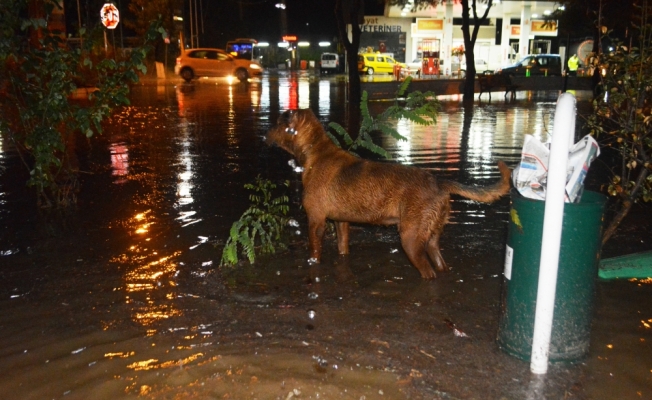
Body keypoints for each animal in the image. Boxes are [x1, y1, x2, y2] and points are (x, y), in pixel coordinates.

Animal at [264, 108, 510, 280]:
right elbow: (343, 247)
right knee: (439, 262)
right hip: (431, 236)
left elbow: (314, 251)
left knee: (428, 272)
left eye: (277, 124)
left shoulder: (315, 221)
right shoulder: (341, 222)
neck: (314, 151)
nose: (265, 134)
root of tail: (439, 182)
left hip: (410, 238)